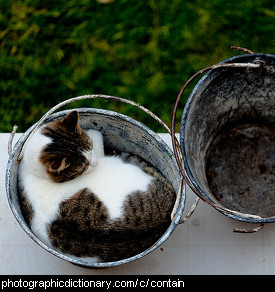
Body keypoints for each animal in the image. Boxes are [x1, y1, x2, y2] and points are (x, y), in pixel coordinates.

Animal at [17, 110, 177, 262]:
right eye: (83, 165)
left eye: (89, 147)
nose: (95, 163)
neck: (33, 172)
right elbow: (97, 136)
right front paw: (95, 133)